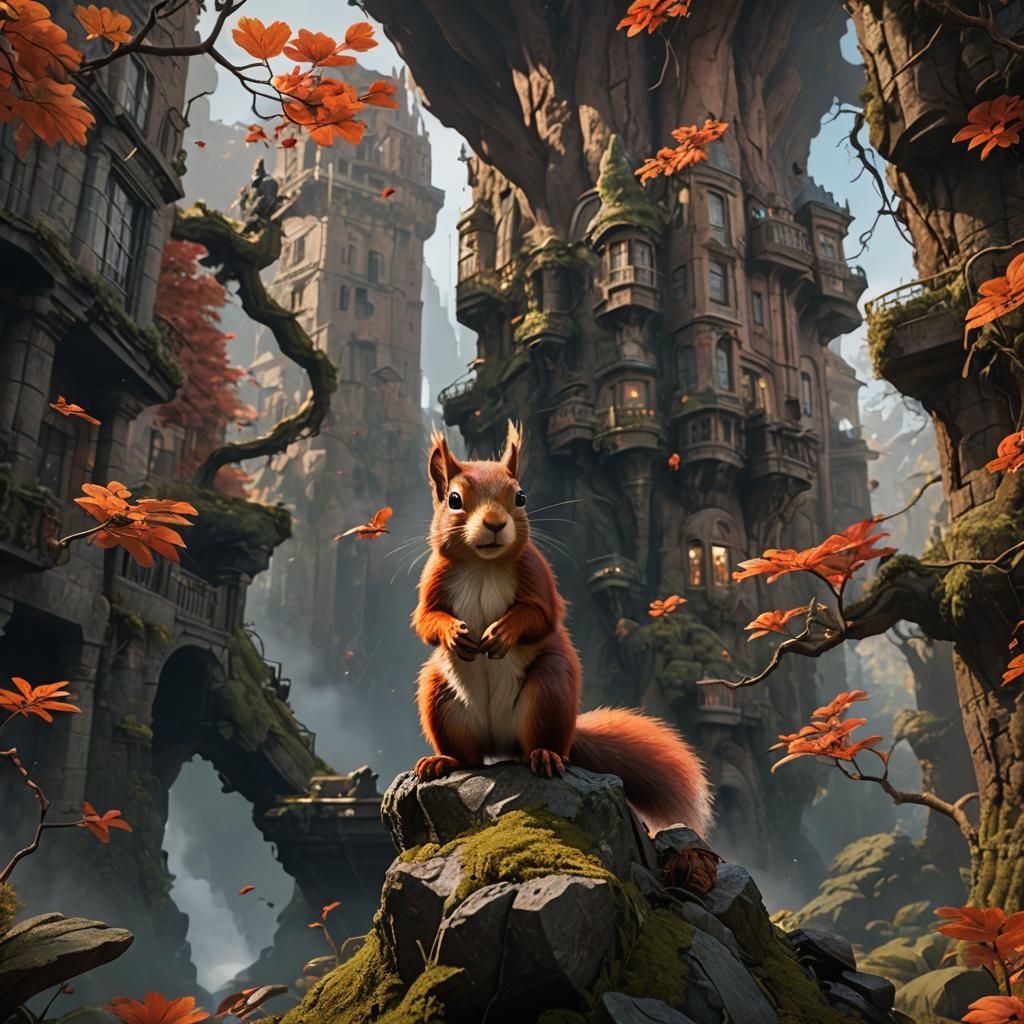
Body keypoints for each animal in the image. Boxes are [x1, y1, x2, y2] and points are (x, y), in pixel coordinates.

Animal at [411, 420, 713, 835]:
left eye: (520, 496)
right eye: (454, 500)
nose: (495, 524)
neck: (483, 565)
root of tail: (500, 745)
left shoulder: (537, 572)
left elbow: (542, 617)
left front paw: (503, 632)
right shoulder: (434, 577)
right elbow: (426, 620)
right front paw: (454, 632)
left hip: (549, 692)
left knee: (542, 741)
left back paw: (545, 756)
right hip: (440, 697)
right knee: (468, 757)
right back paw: (443, 762)